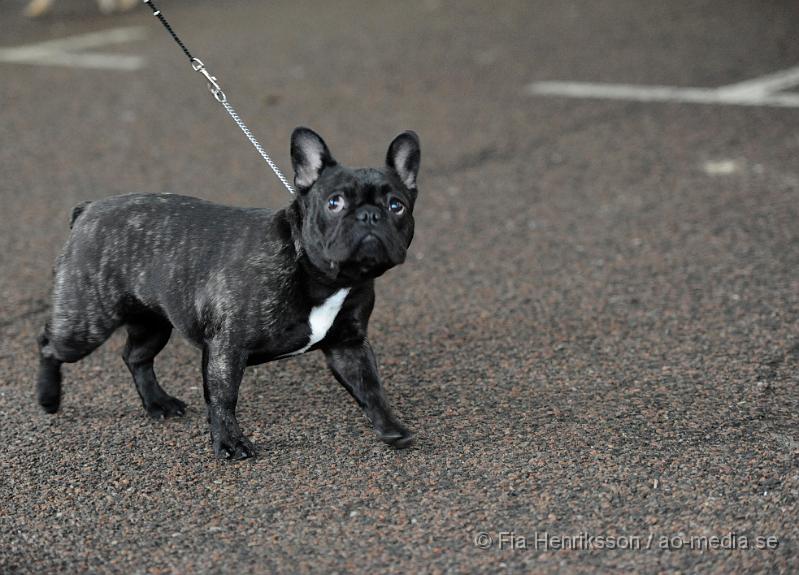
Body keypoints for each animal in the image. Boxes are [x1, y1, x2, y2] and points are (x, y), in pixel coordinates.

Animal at [37, 128, 422, 462]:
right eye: (335, 202)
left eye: (396, 205)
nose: (369, 215)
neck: (322, 275)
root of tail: (87, 210)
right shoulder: (228, 347)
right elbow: (224, 398)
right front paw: (230, 442)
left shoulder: (348, 346)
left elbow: (371, 387)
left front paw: (391, 428)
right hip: (86, 323)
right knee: (48, 343)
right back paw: (48, 397)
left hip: (154, 323)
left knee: (136, 356)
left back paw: (158, 402)